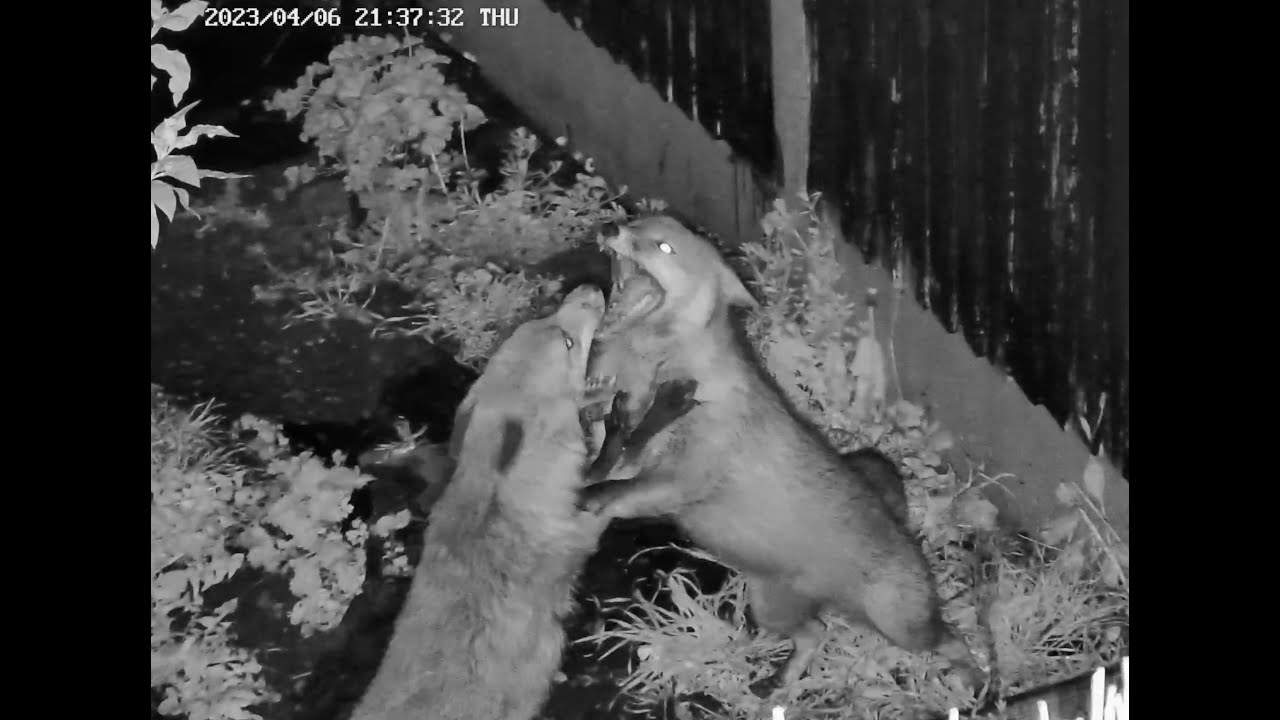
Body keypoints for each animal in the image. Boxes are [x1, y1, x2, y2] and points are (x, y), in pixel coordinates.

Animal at [578, 216, 983, 696]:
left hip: (901, 621)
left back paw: (978, 682)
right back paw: (777, 683)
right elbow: (610, 455)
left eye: (663, 246)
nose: (611, 227)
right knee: (815, 633)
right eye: (633, 222)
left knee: (951, 636)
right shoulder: (633, 440)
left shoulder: (690, 468)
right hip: (769, 603)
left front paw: (594, 498)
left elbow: (627, 489)